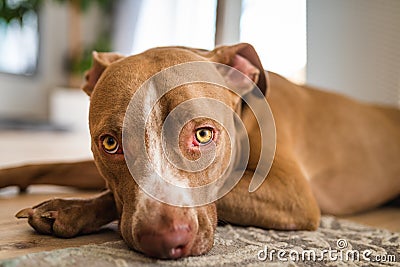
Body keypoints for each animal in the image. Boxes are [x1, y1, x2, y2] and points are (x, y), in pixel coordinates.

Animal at [0, 44, 400, 260]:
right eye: (111, 143)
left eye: (204, 135)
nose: (164, 239)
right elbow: (49, 165)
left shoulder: (293, 194)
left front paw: (69, 209)